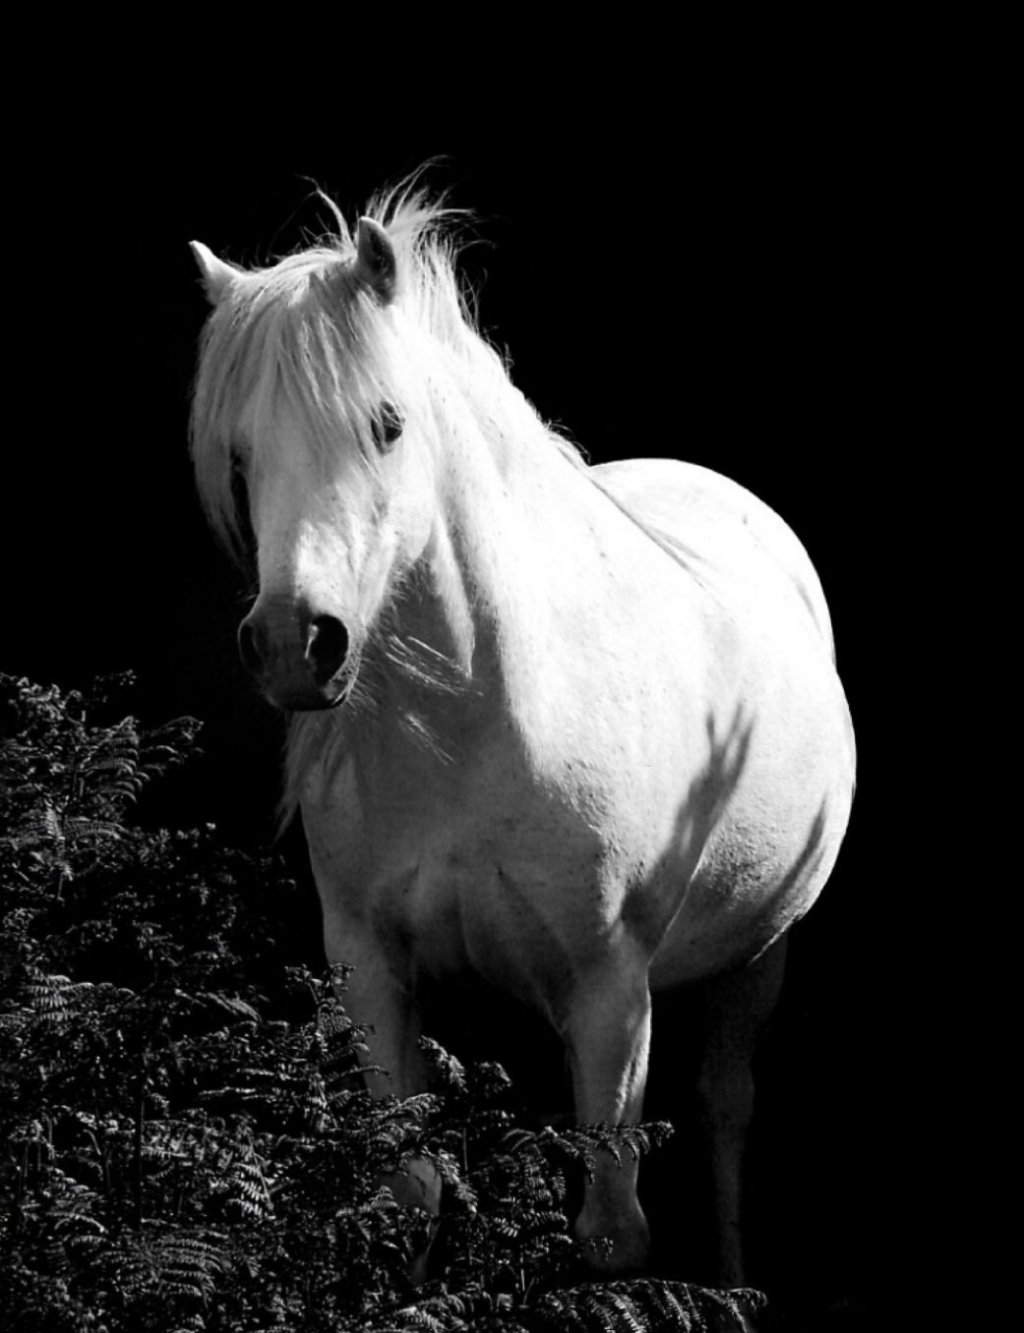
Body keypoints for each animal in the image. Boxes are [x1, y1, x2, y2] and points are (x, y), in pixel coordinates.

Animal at [189, 181, 856, 1285]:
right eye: (240, 454)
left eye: (386, 425)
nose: (294, 643)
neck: (479, 727)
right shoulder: (374, 972)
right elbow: (411, 1195)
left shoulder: (610, 992)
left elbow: (611, 1233)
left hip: (759, 956)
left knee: (725, 1114)